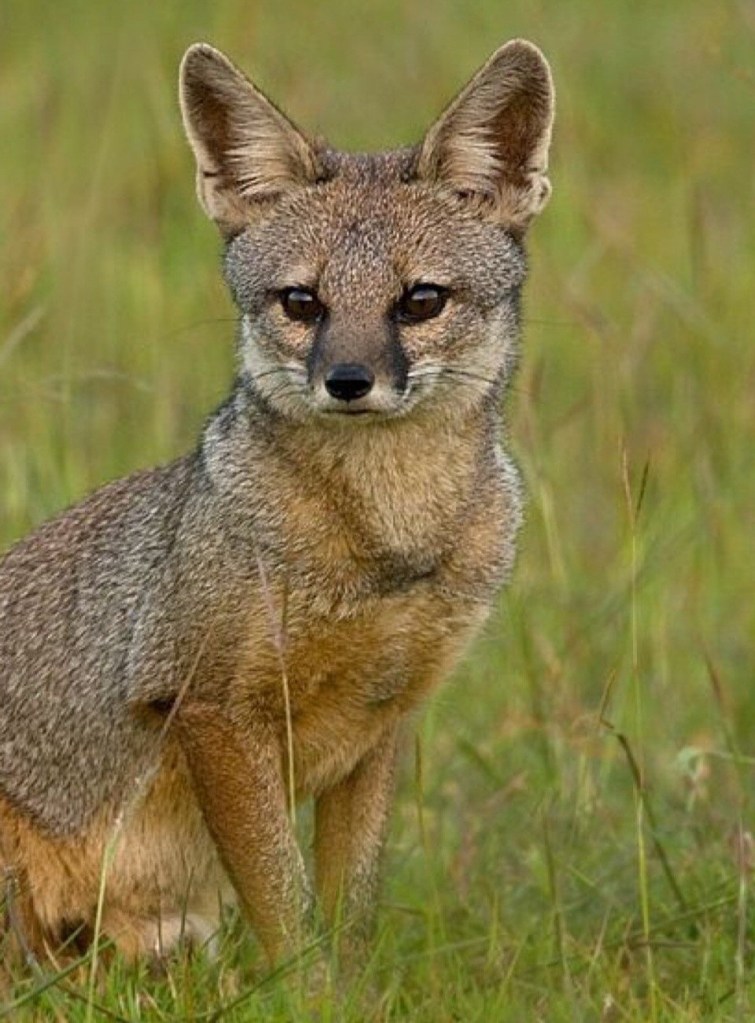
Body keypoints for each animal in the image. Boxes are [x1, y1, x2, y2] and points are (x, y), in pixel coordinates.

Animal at [0, 39, 554, 972]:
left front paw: (354, 992)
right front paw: (309, 991)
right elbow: (288, 914)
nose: (348, 381)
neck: (383, 546)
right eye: (302, 303)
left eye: (420, 301)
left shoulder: (382, 722)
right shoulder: (211, 708)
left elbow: (349, 911)